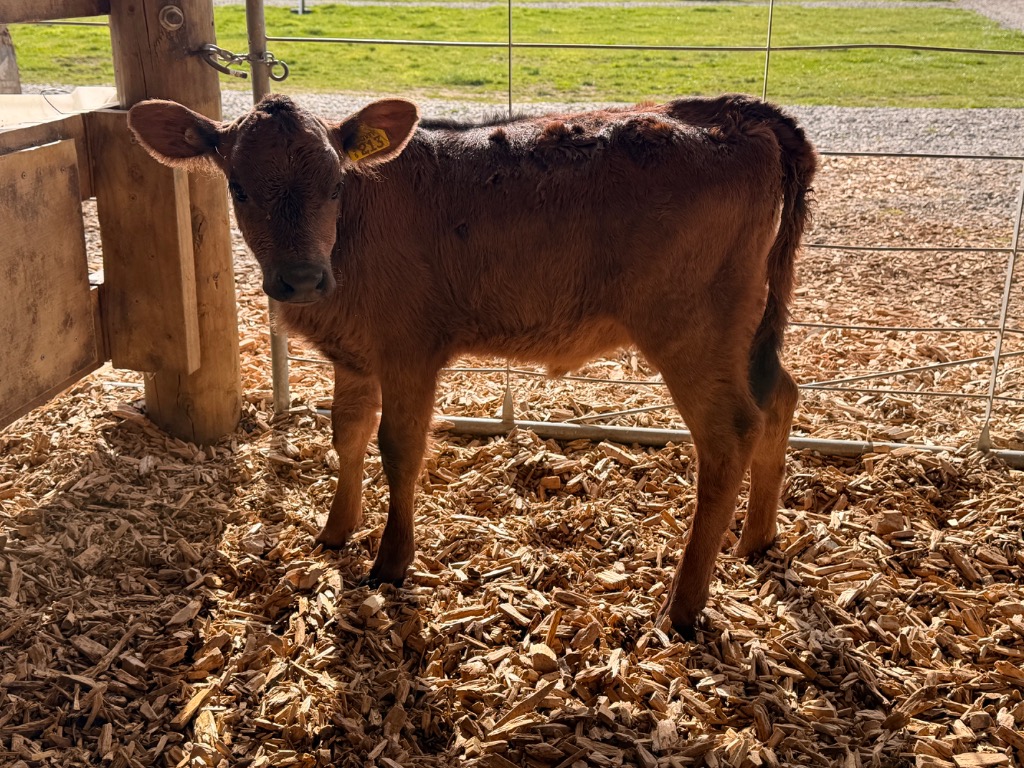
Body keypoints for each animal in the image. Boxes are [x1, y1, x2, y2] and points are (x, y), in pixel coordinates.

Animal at [127, 92, 816, 635]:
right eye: (238, 187)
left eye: (335, 185)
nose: (300, 279)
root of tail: (735, 112)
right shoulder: (355, 355)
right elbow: (347, 434)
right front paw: (336, 530)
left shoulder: (410, 350)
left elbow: (399, 447)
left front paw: (391, 562)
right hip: (744, 326)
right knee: (780, 395)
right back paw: (757, 539)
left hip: (692, 326)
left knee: (730, 433)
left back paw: (684, 604)